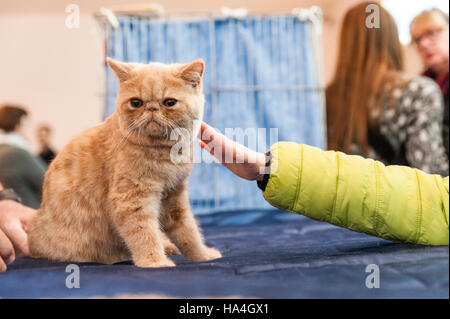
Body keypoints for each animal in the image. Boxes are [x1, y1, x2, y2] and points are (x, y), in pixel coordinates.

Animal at [28, 58, 221, 268]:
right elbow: (144, 233)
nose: (151, 108)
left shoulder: (174, 197)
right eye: (136, 103)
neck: (163, 153)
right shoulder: (132, 198)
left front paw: (202, 255)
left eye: (169, 102)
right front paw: (155, 261)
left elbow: (188, 231)